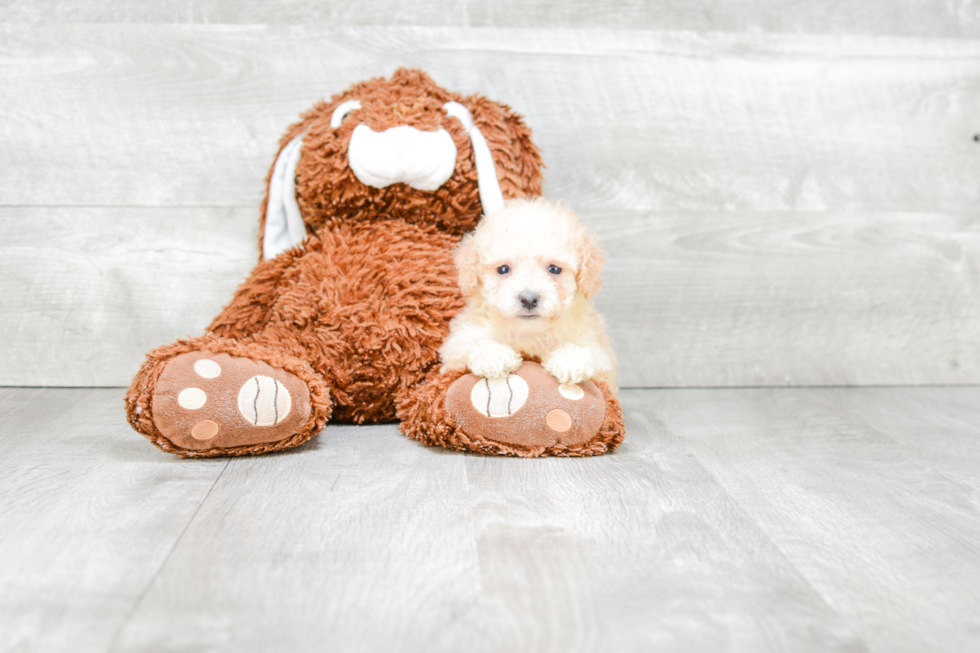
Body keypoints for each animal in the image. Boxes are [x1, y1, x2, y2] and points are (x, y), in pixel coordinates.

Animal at [440, 197, 616, 392]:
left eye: (554, 269)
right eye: (503, 269)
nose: (529, 299)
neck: (529, 333)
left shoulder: (601, 356)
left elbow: (590, 352)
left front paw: (570, 360)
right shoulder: (455, 348)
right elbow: (469, 343)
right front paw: (494, 356)